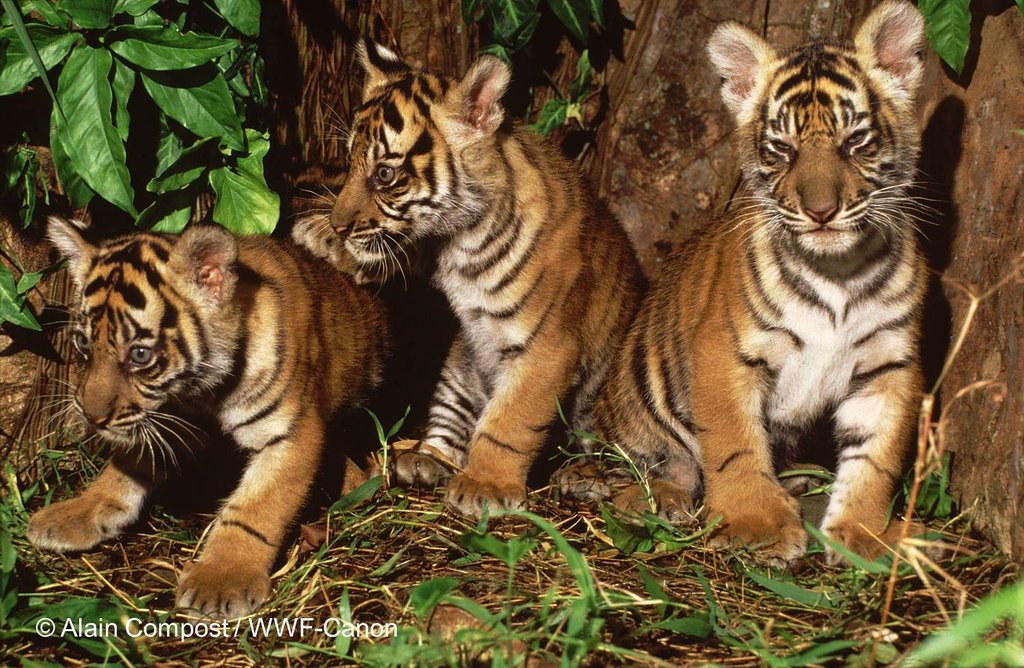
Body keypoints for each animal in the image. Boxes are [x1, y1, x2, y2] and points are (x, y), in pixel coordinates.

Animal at [28, 217, 389, 617]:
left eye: (139, 354)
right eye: (83, 345)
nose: (92, 417)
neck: (201, 391)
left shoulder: (291, 432)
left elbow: (256, 508)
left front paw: (222, 579)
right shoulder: (170, 418)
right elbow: (124, 467)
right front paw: (79, 511)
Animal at [293, 40, 644, 517]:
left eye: (385, 174)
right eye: (349, 162)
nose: (339, 224)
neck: (460, 242)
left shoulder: (547, 347)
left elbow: (510, 420)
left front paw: (485, 486)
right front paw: (321, 235)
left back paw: (582, 477)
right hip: (460, 368)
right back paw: (423, 459)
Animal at [563, 0, 930, 564]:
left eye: (855, 142)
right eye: (782, 148)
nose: (820, 212)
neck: (839, 272)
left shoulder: (890, 362)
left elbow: (876, 458)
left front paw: (863, 536)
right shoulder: (724, 351)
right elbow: (734, 443)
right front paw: (757, 525)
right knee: (651, 460)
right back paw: (644, 496)